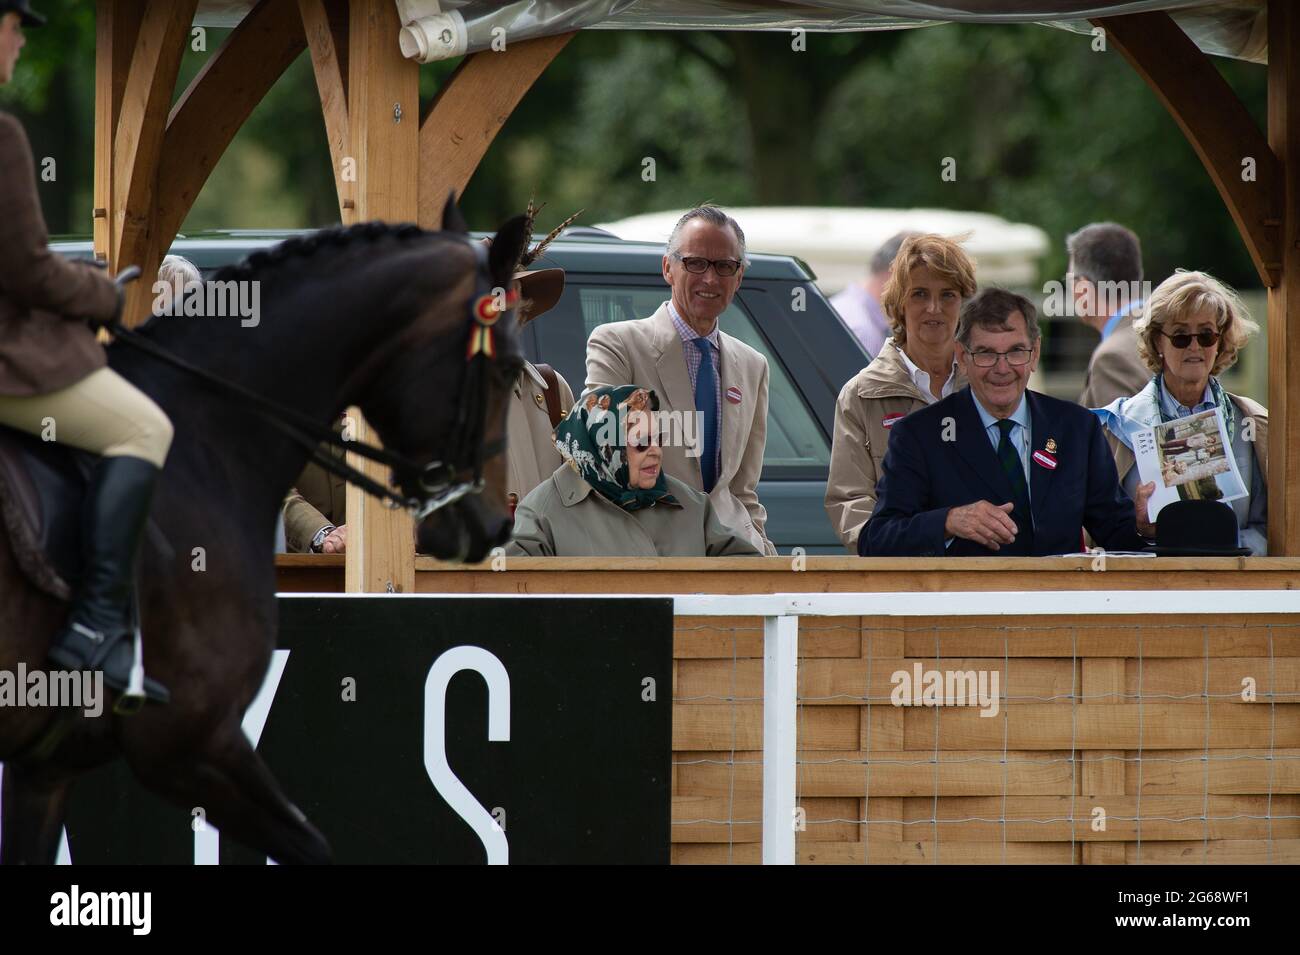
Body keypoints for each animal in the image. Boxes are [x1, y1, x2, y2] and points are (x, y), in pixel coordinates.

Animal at [0, 201, 530, 867]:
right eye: (507, 366)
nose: (493, 523)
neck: (203, 438)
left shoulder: (45, 769)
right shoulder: (191, 742)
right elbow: (313, 845)